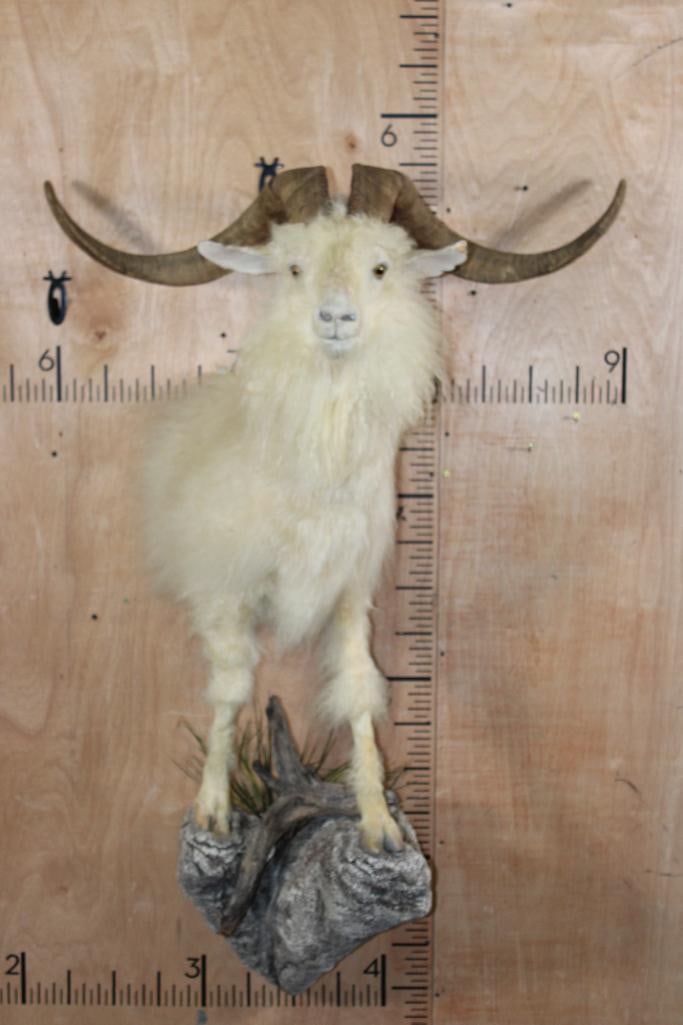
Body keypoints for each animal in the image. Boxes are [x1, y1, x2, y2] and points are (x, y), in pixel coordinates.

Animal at [44, 164, 625, 853]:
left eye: (380, 267)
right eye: (294, 267)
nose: (336, 318)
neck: (310, 476)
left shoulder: (351, 591)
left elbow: (356, 690)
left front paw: (379, 824)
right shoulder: (225, 592)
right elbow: (229, 691)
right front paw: (212, 810)